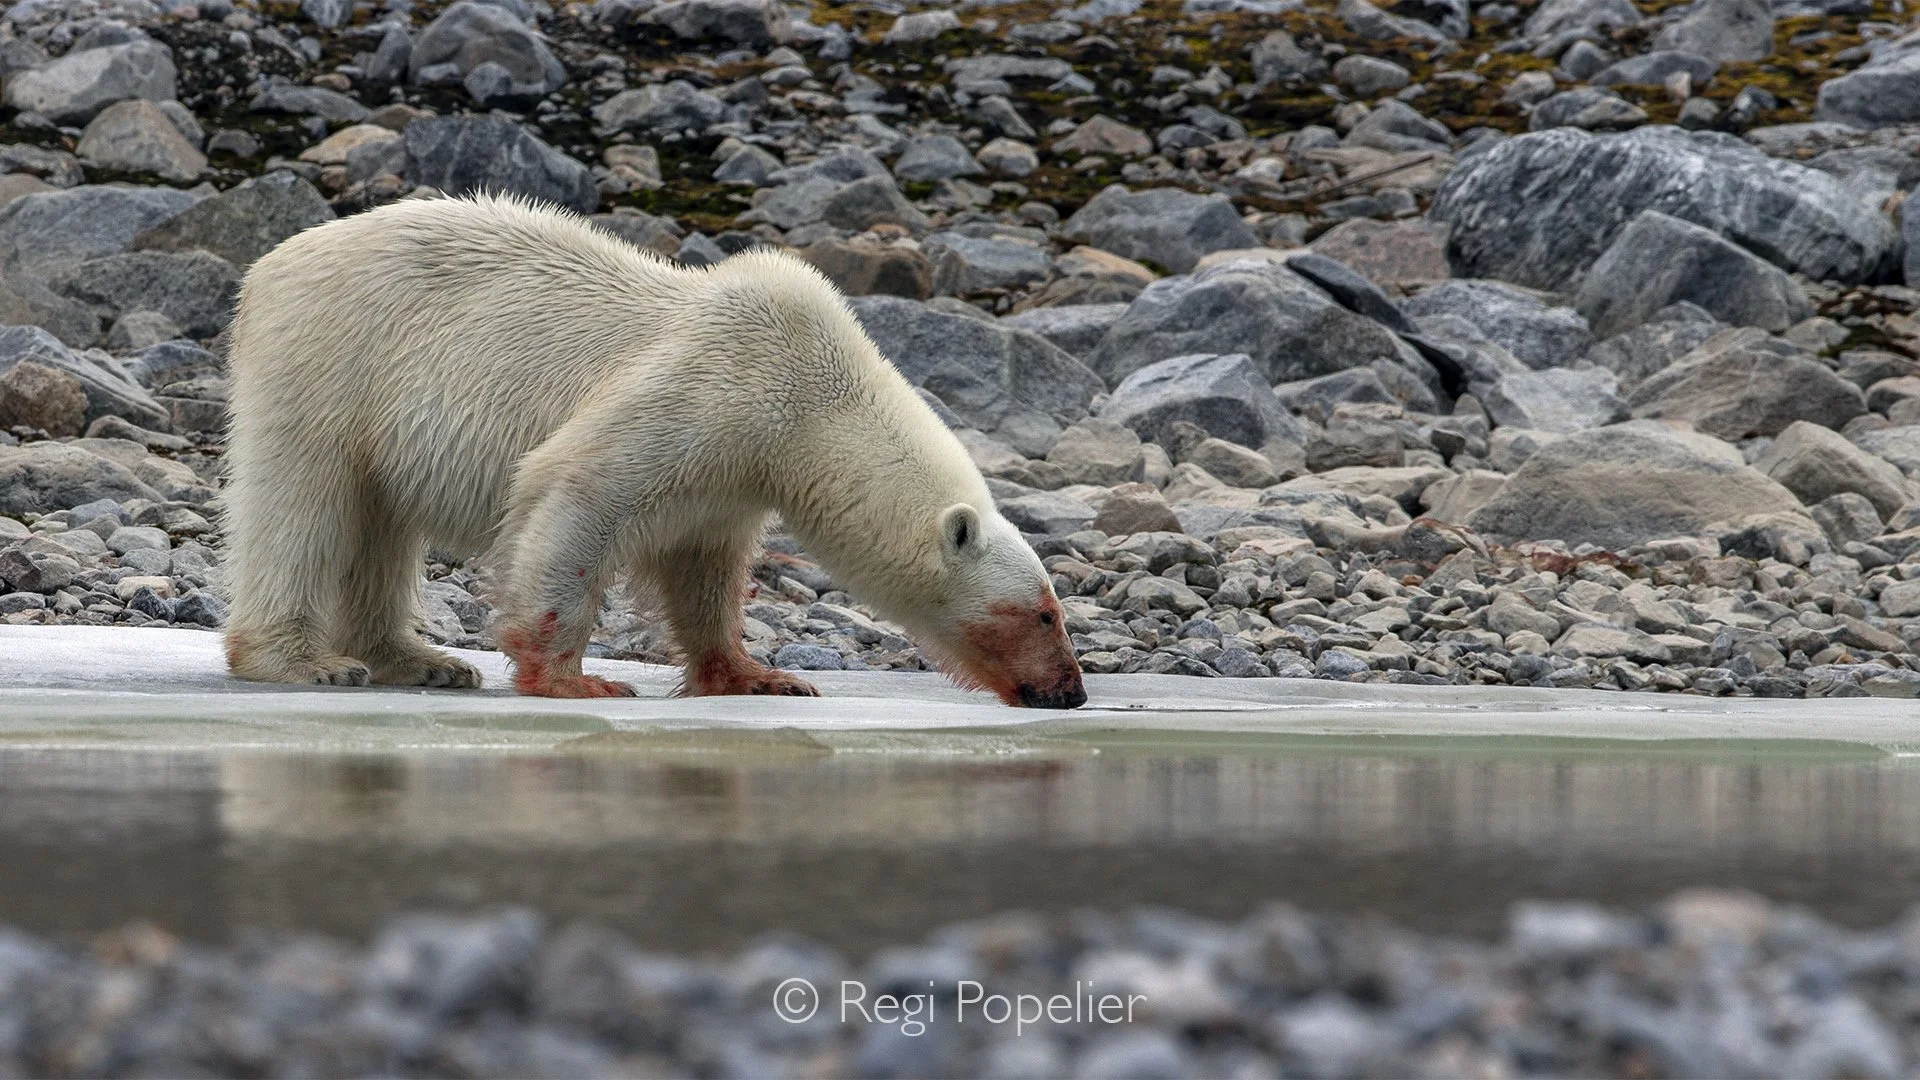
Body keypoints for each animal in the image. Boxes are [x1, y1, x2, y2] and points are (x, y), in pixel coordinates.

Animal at [219, 194, 1087, 709]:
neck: (814, 400)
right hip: (334, 357)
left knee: (380, 524)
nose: (1073, 691)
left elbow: (705, 567)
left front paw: (759, 677)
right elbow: (577, 491)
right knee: (303, 502)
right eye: (1043, 614)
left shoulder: (736, 474)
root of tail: (270, 264)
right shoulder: (711, 391)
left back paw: (419, 659)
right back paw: (307, 660)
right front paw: (576, 681)